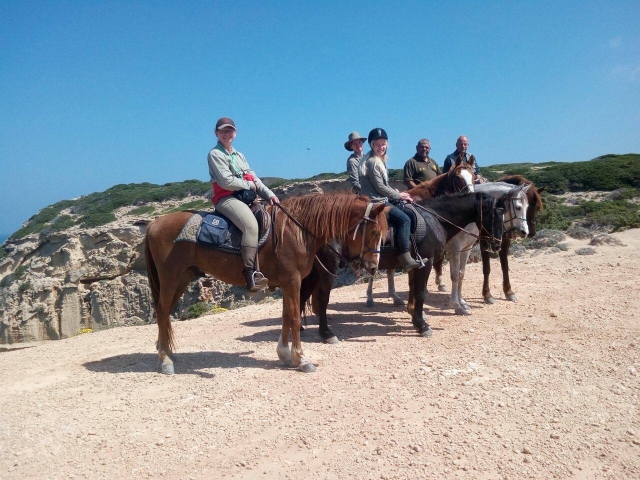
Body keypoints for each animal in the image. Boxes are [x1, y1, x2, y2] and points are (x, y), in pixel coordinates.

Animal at [145, 192, 387, 374]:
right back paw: (165, 360)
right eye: (374, 231)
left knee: (165, 313)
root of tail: (153, 224)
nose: (373, 266)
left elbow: (287, 315)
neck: (297, 230)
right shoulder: (293, 280)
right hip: (170, 279)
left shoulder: (288, 283)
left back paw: (166, 351)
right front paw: (301, 358)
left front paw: (284, 353)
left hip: (182, 278)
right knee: (162, 312)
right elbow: (294, 316)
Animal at [301, 191, 505, 342]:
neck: (435, 220)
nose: (497, 245)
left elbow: (414, 290)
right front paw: (422, 326)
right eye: (495, 216)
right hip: (327, 268)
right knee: (322, 297)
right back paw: (326, 333)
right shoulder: (426, 263)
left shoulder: (416, 264)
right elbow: (421, 292)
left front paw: (415, 318)